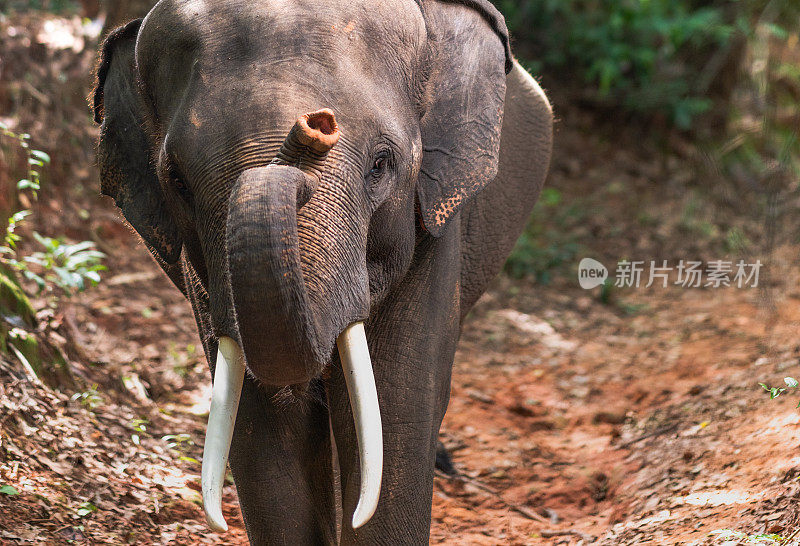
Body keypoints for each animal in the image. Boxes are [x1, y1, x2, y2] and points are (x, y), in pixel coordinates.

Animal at [92, 0, 552, 540]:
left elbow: (396, 408)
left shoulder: (433, 225)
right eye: (178, 182)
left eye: (381, 164)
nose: (316, 125)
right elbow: (258, 427)